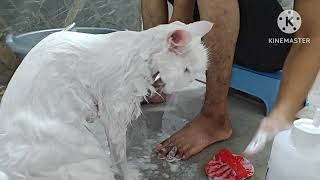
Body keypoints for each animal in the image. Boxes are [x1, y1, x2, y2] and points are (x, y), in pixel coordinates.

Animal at [0, 20, 212, 179]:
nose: (192, 80)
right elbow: (120, 154)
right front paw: (128, 174)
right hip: (88, 151)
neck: (139, 54)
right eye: (186, 70)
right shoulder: (114, 111)